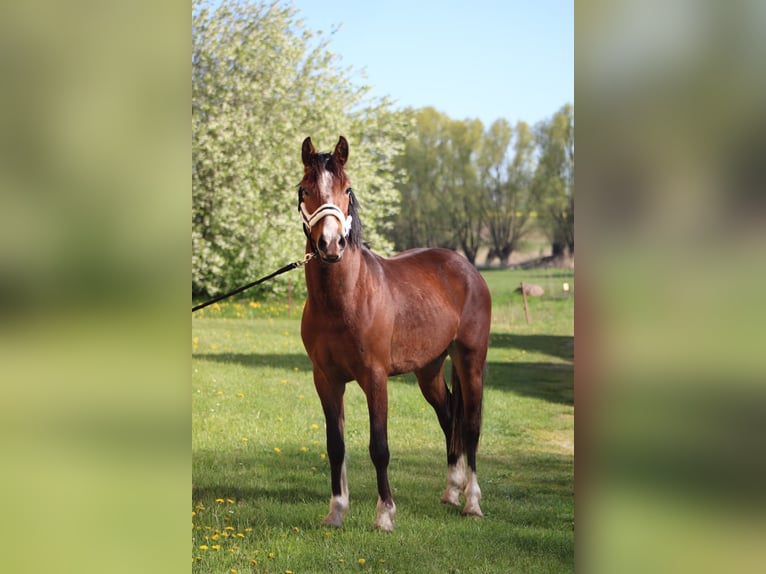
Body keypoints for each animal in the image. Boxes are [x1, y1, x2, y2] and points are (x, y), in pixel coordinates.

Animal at [298, 135, 491, 531]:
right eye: (305, 190)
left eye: (347, 189)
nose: (330, 245)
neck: (345, 299)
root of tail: (466, 267)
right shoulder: (325, 379)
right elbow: (335, 445)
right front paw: (336, 511)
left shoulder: (375, 378)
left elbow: (379, 447)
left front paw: (384, 514)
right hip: (429, 369)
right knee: (448, 417)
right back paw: (452, 491)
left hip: (471, 361)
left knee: (470, 426)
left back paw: (472, 503)